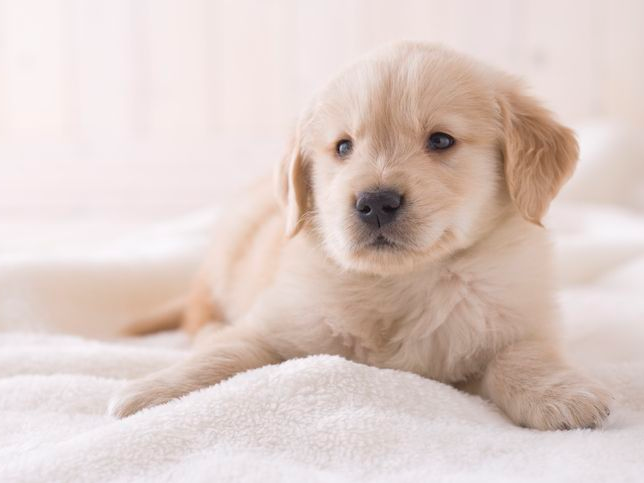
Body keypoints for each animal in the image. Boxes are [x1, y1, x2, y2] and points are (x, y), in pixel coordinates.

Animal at [108, 42, 612, 432]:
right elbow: (227, 354)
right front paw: (153, 392)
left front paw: (561, 395)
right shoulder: (279, 319)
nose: (375, 202)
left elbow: (523, 355)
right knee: (200, 316)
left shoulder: (519, 316)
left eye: (441, 141)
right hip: (222, 259)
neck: (400, 283)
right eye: (343, 147)